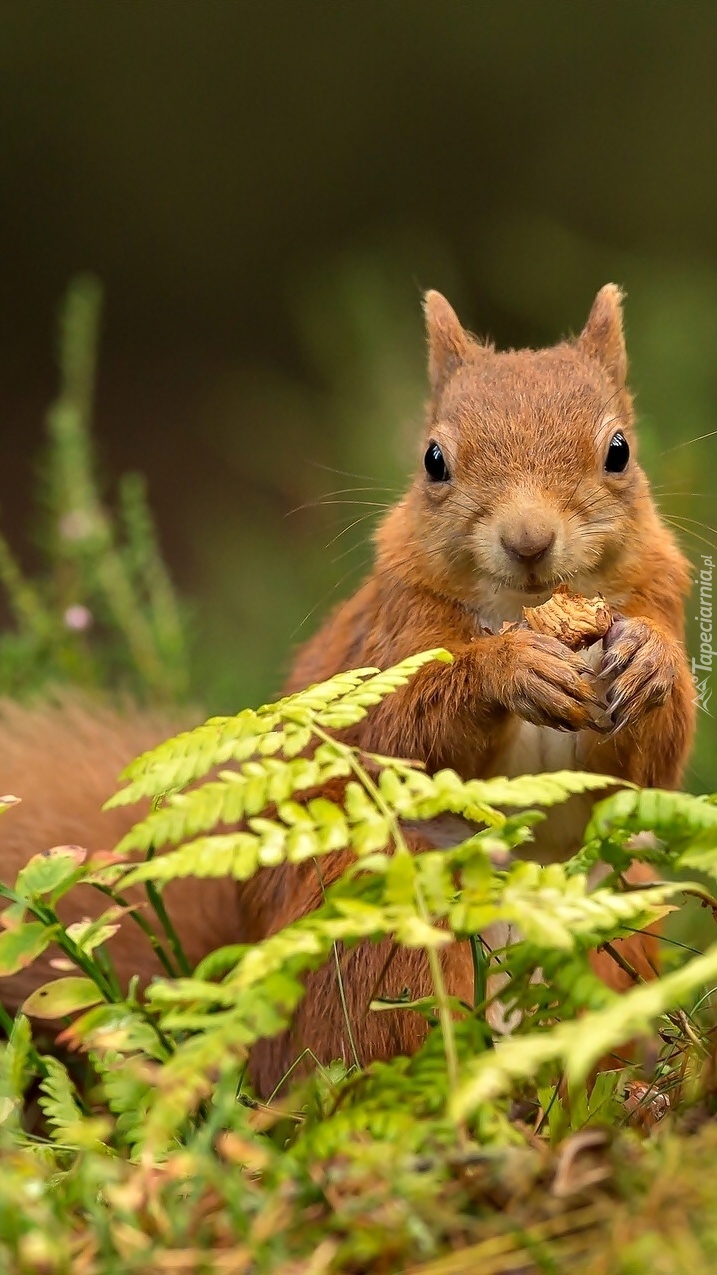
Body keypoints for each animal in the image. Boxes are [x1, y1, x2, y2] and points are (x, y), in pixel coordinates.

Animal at [0, 286, 694, 1096]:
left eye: (619, 451)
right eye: (432, 461)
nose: (528, 541)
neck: (522, 610)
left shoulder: (656, 601)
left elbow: (638, 774)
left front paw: (649, 661)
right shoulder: (387, 641)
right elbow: (404, 732)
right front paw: (505, 670)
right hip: (379, 933)